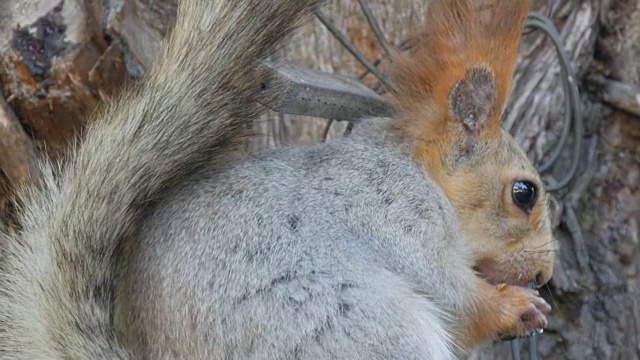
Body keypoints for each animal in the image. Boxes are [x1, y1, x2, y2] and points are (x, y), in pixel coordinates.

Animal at [0, 0, 556, 358]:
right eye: (523, 193)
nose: (545, 273)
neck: (422, 176)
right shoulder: (392, 213)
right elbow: (451, 296)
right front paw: (514, 308)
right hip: (355, 330)